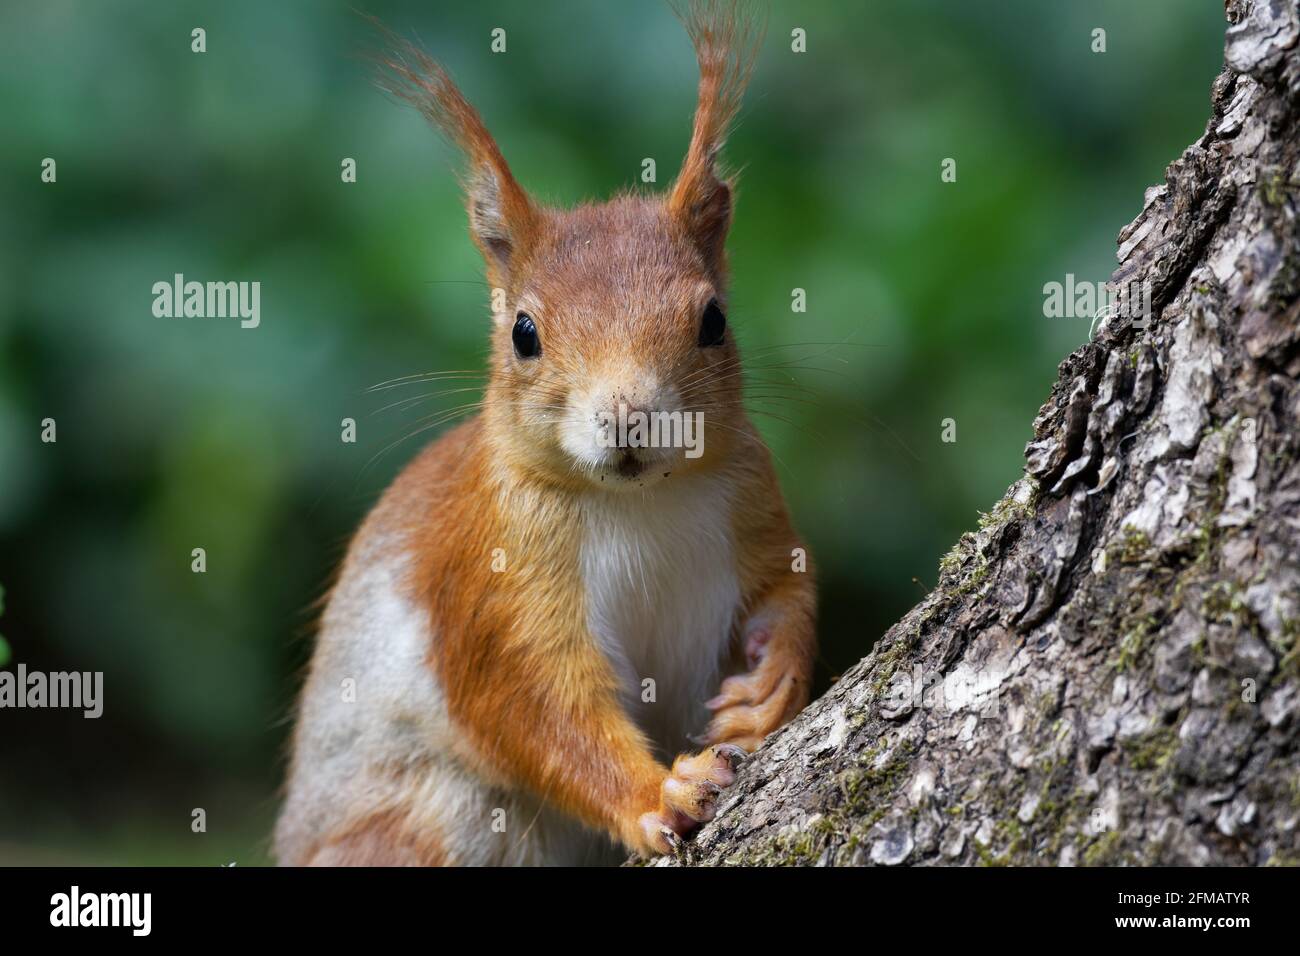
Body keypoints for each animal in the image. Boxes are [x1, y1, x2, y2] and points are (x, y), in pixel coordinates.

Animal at [276, 1, 811, 868]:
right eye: (523, 333)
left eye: (714, 320)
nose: (628, 417)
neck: (639, 502)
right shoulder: (494, 571)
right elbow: (536, 706)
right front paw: (658, 794)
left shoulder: (751, 494)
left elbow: (788, 589)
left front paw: (772, 686)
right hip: (422, 823)